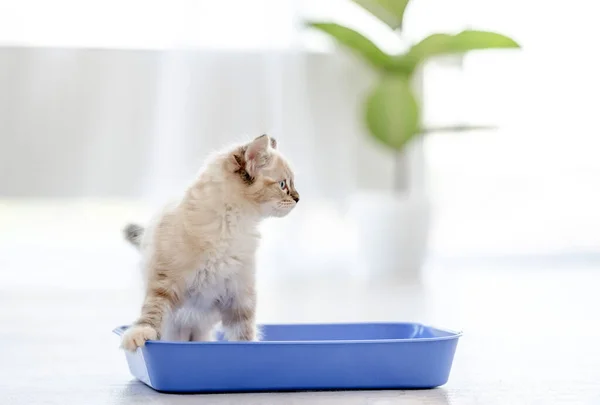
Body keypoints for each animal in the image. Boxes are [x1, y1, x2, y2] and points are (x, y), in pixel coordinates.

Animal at [120, 134, 298, 348]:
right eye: (283, 185)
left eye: (291, 184)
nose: (298, 198)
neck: (231, 226)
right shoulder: (166, 281)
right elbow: (153, 310)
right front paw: (140, 334)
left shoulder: (239, 295)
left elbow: (244, 334)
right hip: (179, 326)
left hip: (199, 329)